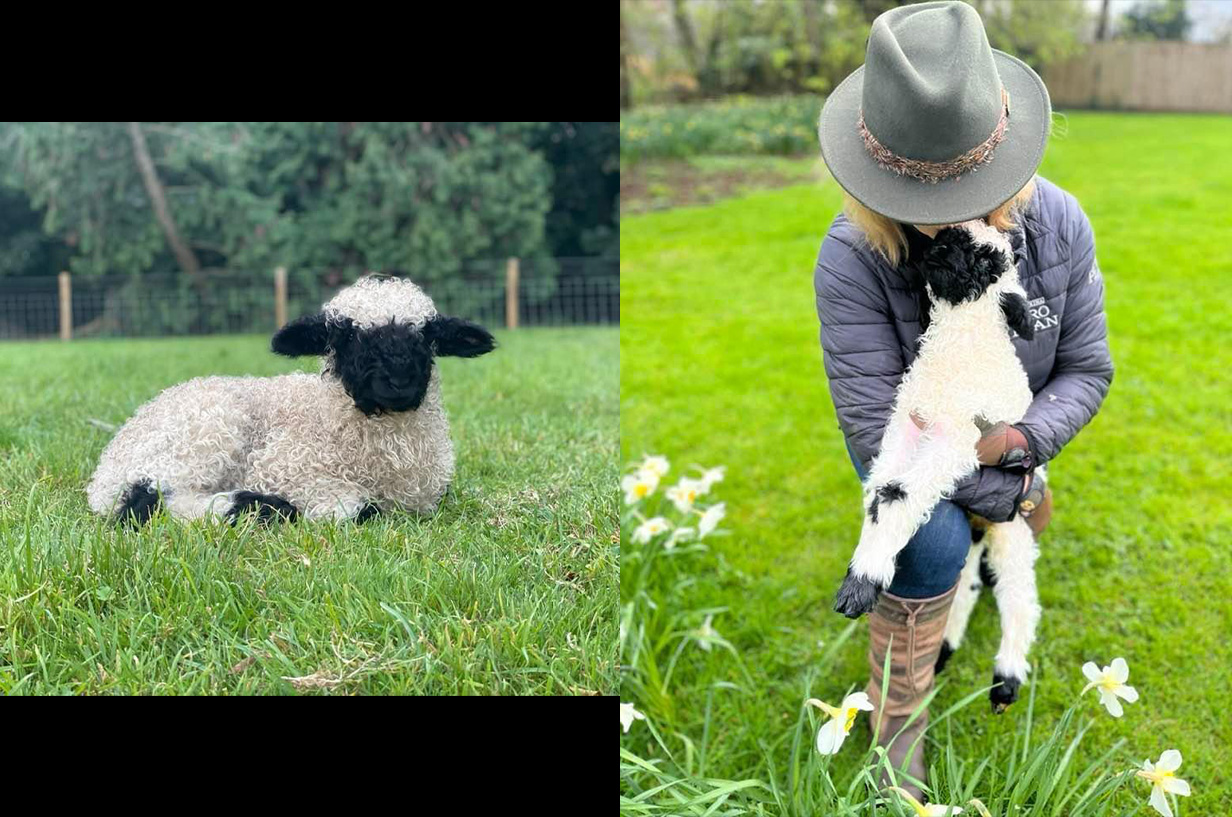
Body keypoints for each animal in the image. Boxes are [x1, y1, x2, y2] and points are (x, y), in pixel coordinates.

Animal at [86, 275, 496, 525]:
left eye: (427, 337)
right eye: (346, 336)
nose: (398, 379)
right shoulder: (285, 467)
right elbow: (358, 509)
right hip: (208, 431)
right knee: (145, 500)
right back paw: (257, 507)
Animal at [831, 220, 1042, 711]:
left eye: (988, 261)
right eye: (949, 236)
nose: (941, 249)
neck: (956, 356)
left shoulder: (957, 441)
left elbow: (902, 494)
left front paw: (860, 587)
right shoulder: (905, 429)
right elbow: (884, 495)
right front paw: (861, 578)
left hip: (1014, 531)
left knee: (1019, 599)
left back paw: (1006, 681)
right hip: (976, 538)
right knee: (965, 586)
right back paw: (944, 649)